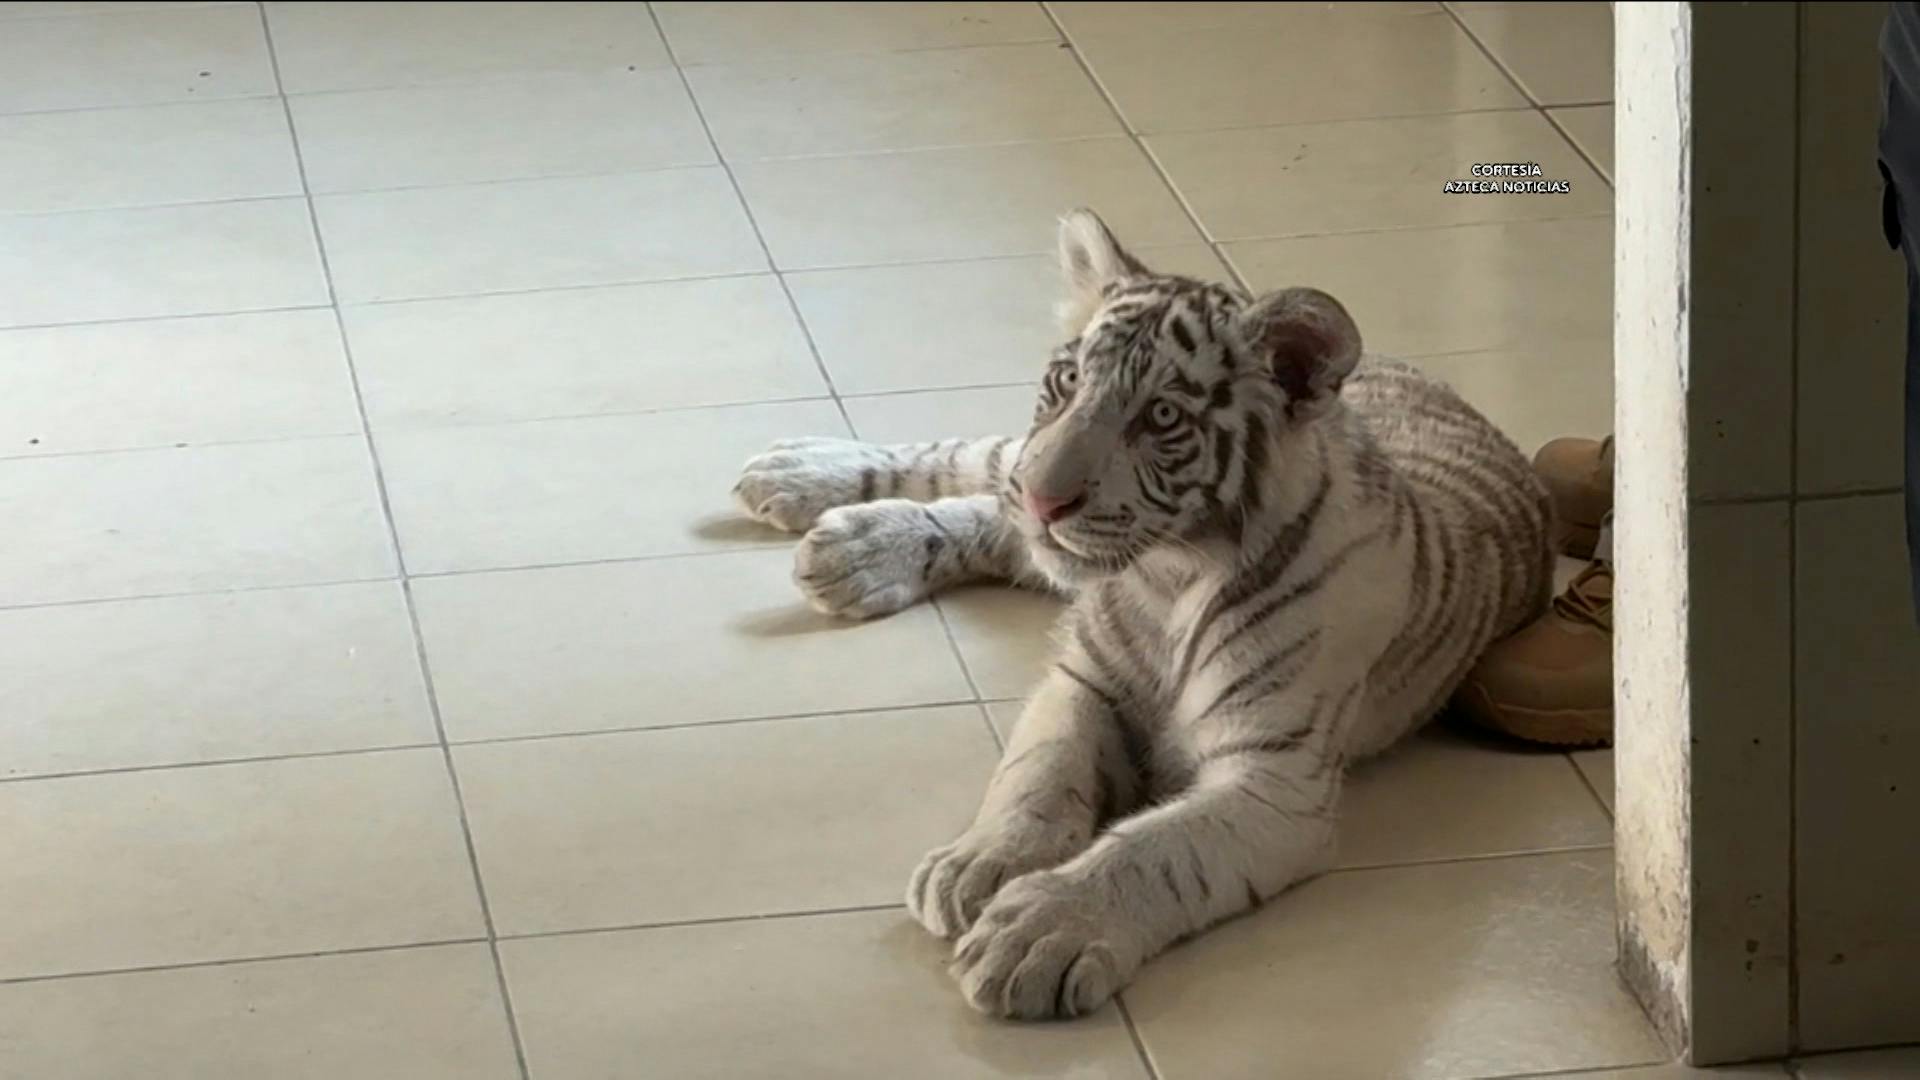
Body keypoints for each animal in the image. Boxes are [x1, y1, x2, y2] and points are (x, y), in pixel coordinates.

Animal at [731, 208, 1553, 1020]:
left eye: (1161, 416)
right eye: (1067, 381)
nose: (1044, 500)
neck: (1169, 576)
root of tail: (1422, 373)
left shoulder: (1274, 780)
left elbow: (1155, 853)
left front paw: (1039, 930)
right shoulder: (1081, 682)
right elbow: (1036, 775)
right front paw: (982, 863)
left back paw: (853, 546)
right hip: (1010, 461)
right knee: (974, 463)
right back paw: (807, 485)